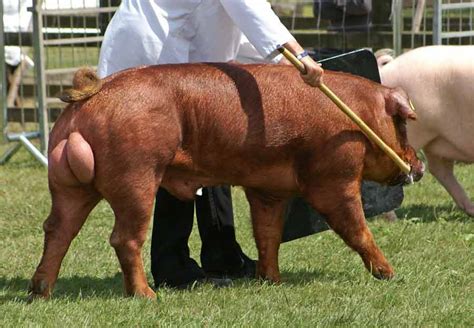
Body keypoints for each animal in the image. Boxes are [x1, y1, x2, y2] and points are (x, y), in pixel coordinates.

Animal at [27, 63, 424, 300]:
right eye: (402, 124)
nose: (419, 166)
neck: (359, 116)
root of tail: (94, 93)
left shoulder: (268, 189)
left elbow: (268, 234)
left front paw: (272, 281)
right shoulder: (333, 177)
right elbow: (356, 229)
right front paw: (390, 275)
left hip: (69, 186)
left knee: (57, 230)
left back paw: (40, 292)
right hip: (136, 174)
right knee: (124, 238)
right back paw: (147, 296)